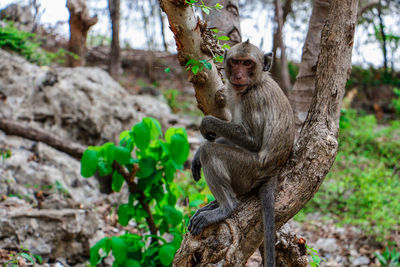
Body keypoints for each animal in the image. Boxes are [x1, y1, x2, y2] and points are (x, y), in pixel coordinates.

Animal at [188, 40, 294, 267]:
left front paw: (207, 124)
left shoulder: (252, 99)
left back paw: (226, 207)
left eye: (247, 63)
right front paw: (197, 152)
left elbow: (253, 141)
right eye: (235, 62)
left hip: (248, 171)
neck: (254, 84)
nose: (238, 75)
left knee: (212, 154)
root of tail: (272, 173)